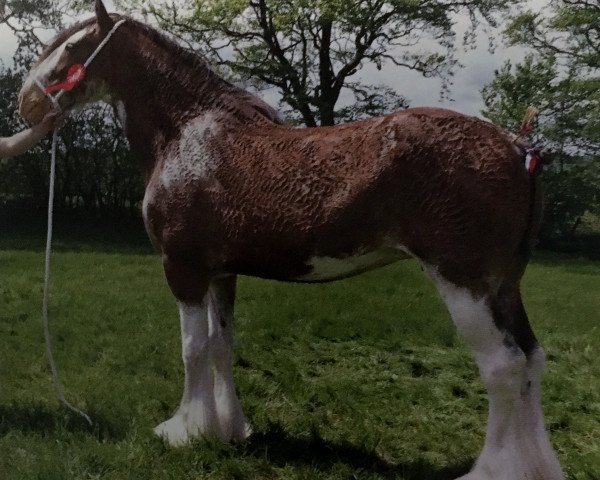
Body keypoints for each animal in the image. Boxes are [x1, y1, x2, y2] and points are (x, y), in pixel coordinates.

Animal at [17, 1, 564, 478]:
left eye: (71, 47)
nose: (26, 103)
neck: (188, 134)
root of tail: (516, 147)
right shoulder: (221, 273)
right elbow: (220, 346)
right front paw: (228, 430)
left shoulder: (183, 267)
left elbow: (192, 349)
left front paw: (185, 433)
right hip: (504, 286)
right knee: (531, 359)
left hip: (463, 280)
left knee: (502, 367)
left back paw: (491, 471)